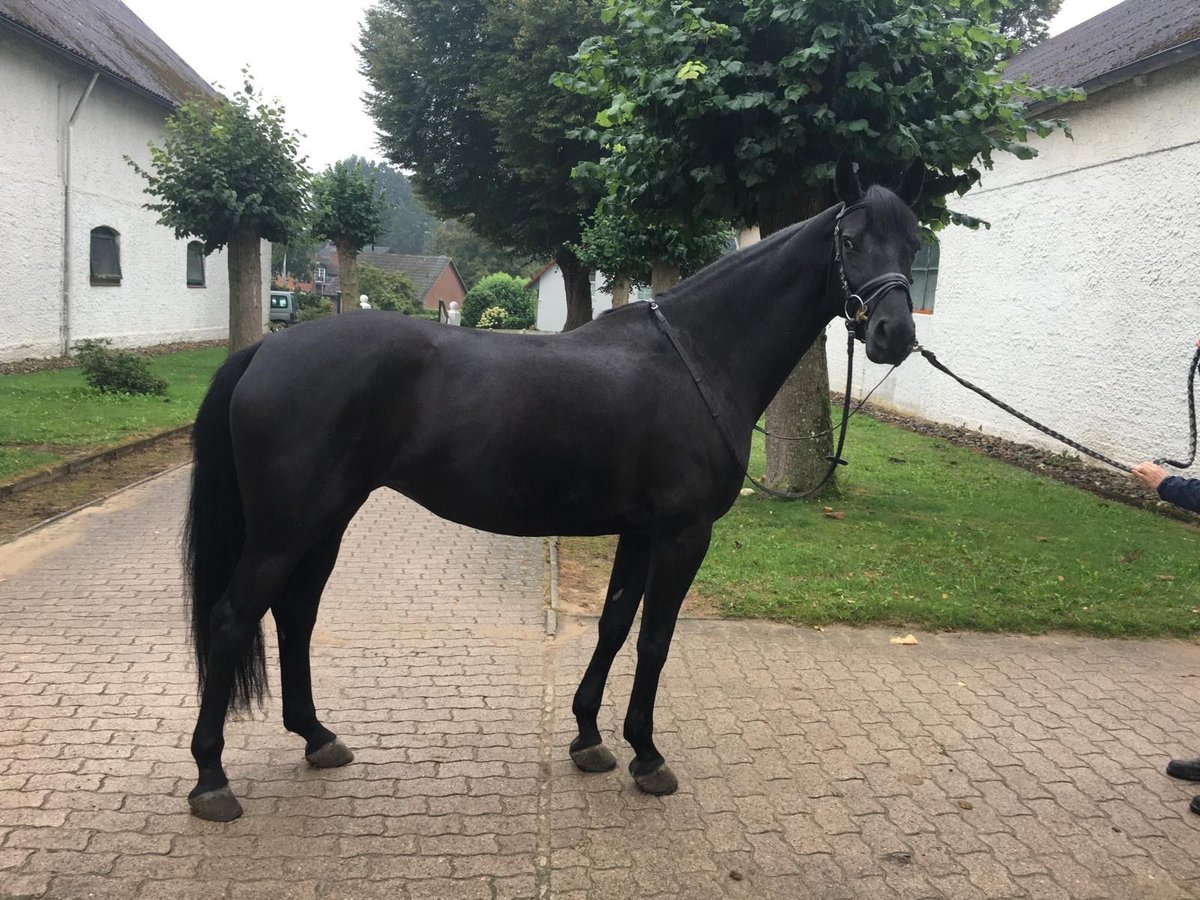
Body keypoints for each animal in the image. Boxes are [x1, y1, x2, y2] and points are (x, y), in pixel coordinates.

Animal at [183, 156, 925, 821]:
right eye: (851, 241)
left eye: (915, 244)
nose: (894, 335)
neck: (697, 356)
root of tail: (266, 348)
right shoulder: (684, 533)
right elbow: (655, 638)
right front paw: (647, 756)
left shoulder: (641, 529)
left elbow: (615, 624)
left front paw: (589, 737)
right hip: (284, 530)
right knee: (233, 619)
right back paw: (212, 778)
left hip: (325, 522)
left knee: (295, 615)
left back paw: (316, 737)